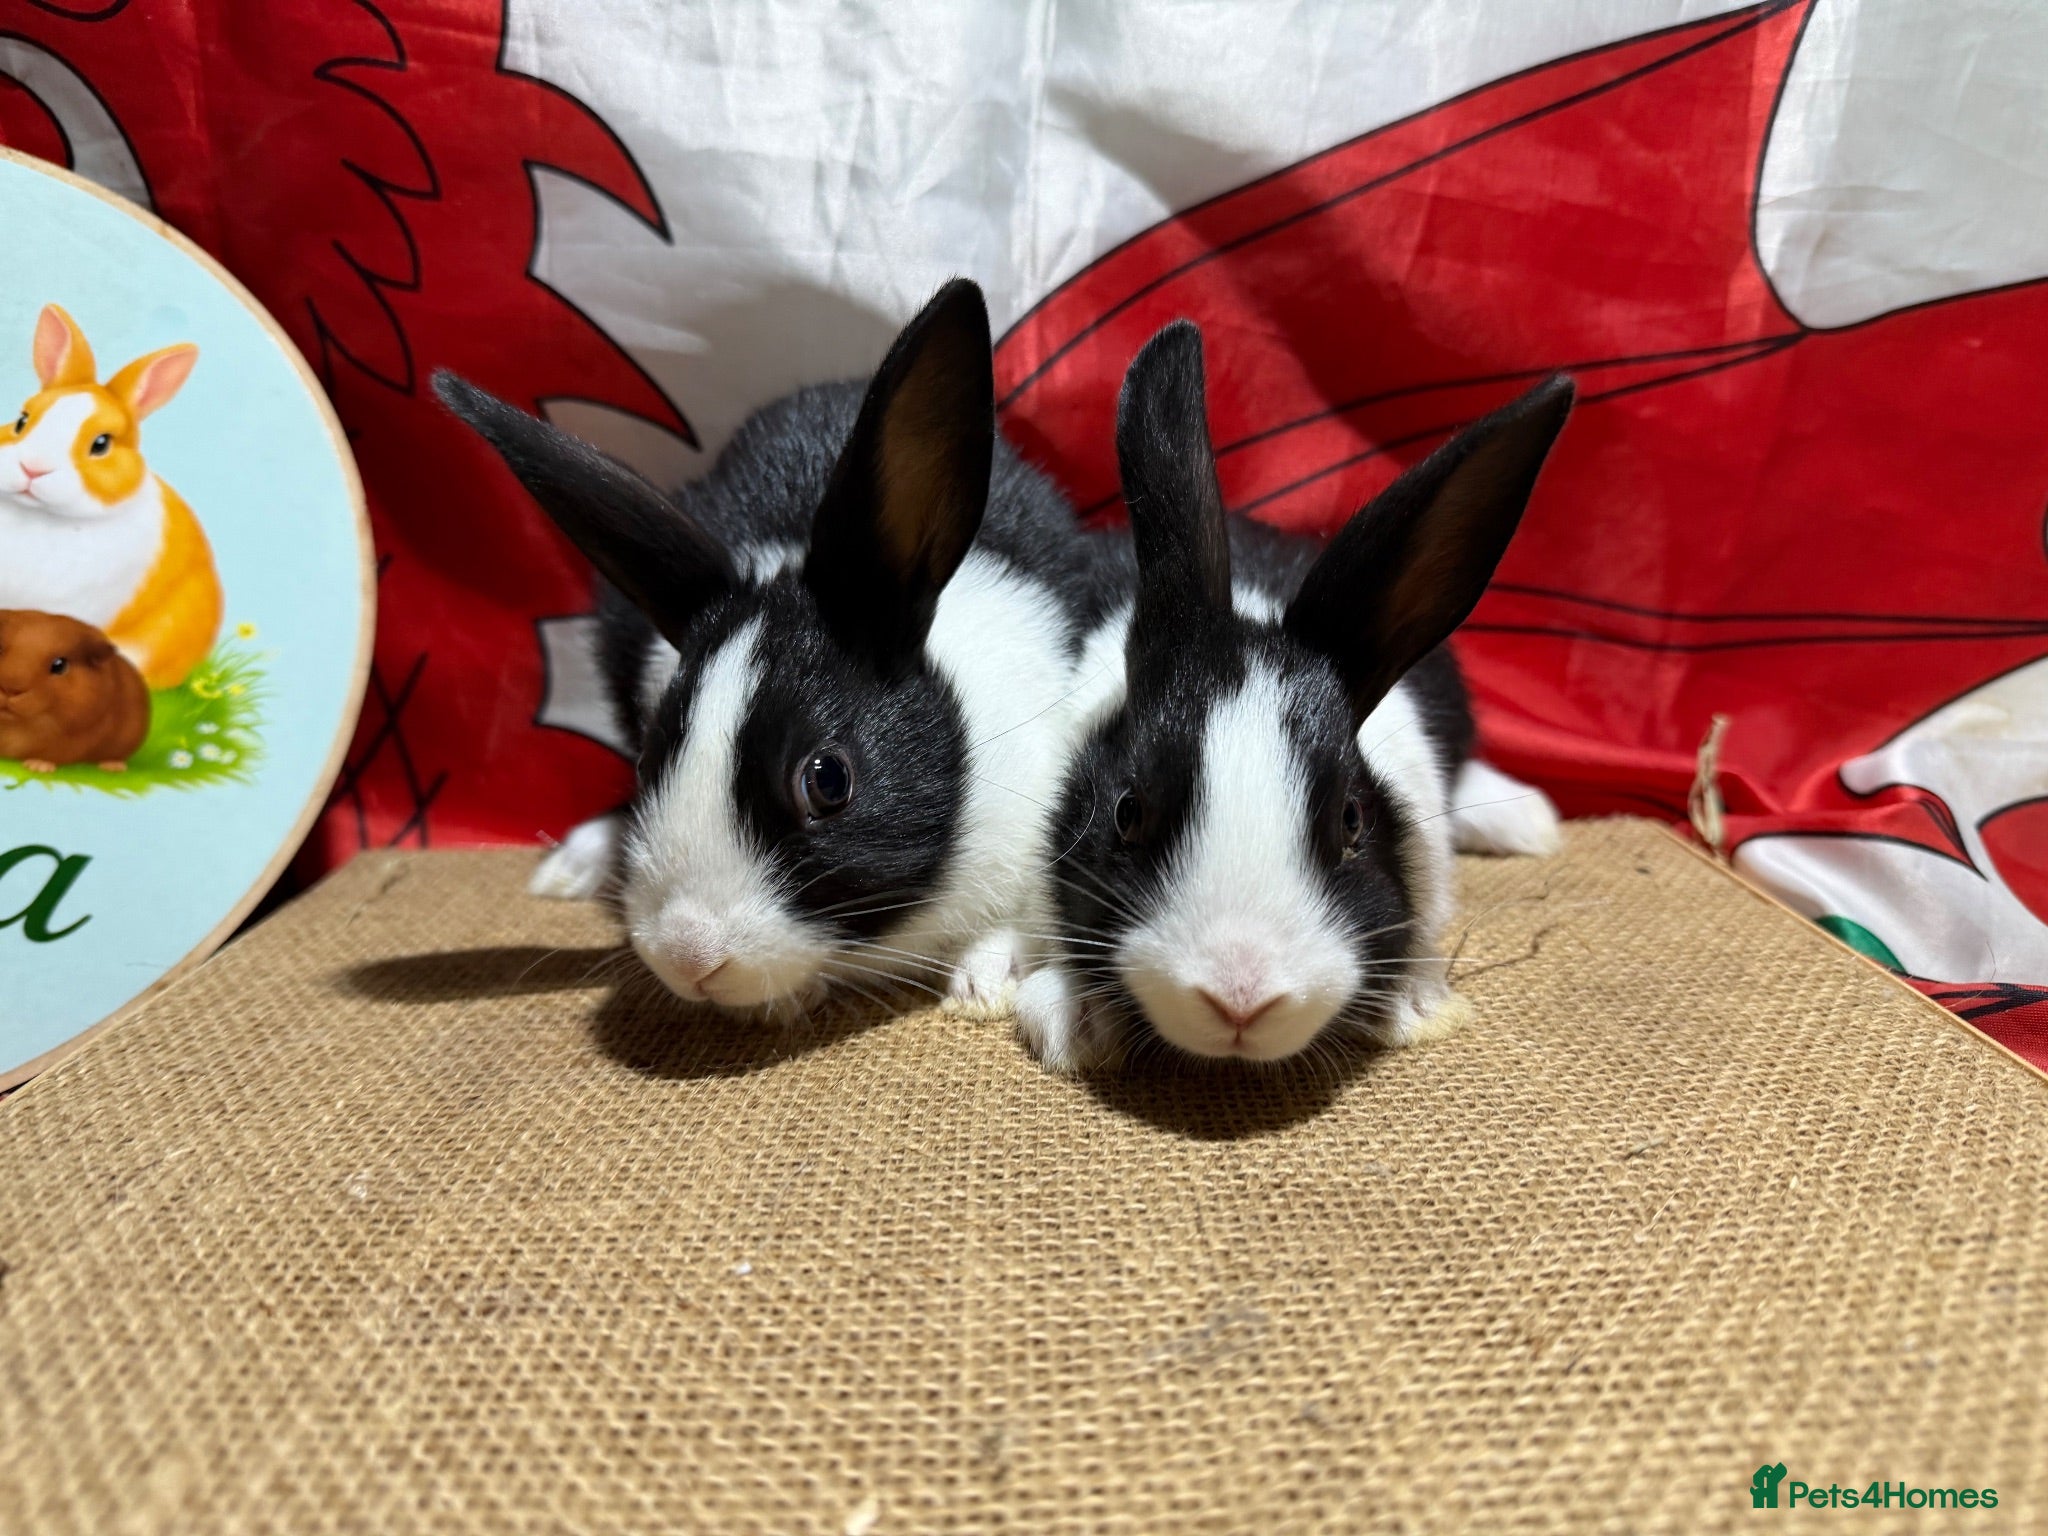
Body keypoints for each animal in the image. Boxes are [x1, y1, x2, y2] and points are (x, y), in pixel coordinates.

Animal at [1015, 320, 1573, 1071]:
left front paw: (1416, 1006)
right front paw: (1073, 1024)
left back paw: (1530, 822)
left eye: (1352, 820)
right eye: (1127, 812)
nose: (1239, 997)